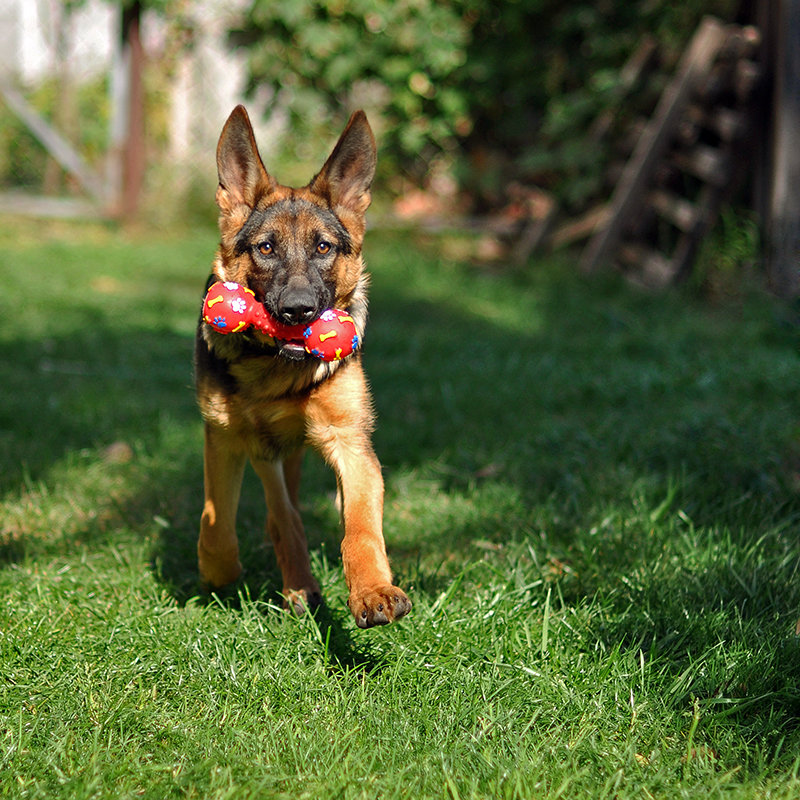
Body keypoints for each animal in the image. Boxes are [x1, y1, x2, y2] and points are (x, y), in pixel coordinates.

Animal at [191, 106, 410, 628]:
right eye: (266, 248)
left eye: (324, 248)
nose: (298, 310)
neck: (276, 374)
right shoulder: (233, 438)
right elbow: (221, 519)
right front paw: (218, 569)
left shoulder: (348, 440)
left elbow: (360, 527)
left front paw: (372, 591)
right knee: (278, 512)